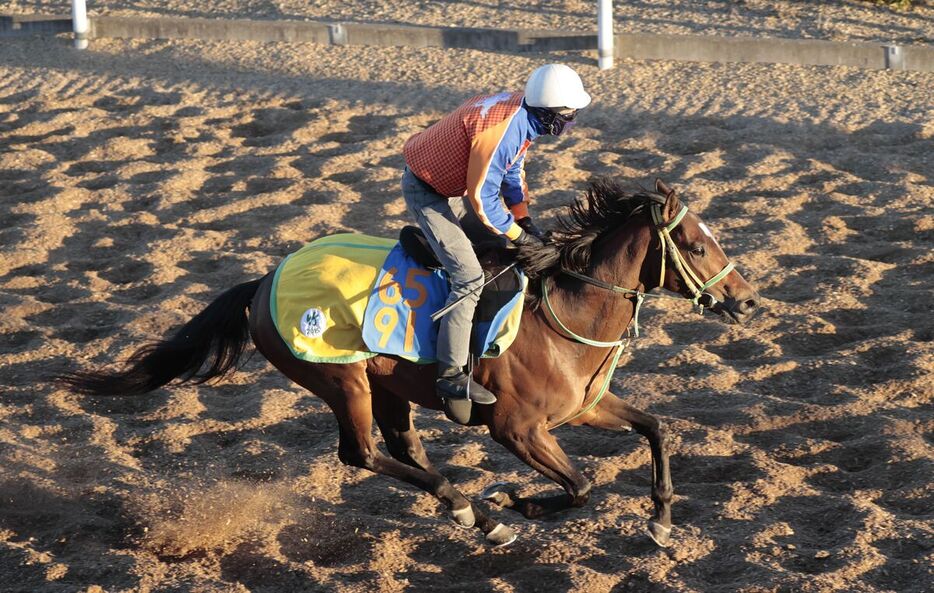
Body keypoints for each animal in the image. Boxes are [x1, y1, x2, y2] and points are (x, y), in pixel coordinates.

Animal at [62, 178, 760, 548]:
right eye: (697, 244)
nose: (747, 299)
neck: (566, 315)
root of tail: (263, 282)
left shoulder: (582, 407)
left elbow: (656, 428)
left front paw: (662, 521)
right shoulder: (517, 430)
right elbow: (582, 485)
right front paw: (519, 502)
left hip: (387, 385)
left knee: (404, 449)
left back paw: (474, 514)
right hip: (341, 380)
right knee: (362, 454)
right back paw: (470, 506)